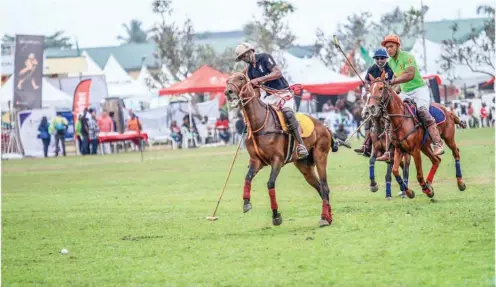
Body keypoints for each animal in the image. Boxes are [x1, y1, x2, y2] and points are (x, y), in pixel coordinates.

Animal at [226, 72, 338, 230]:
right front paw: (246, 203)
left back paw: (324, 218)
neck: (259, 123)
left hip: (320, 155)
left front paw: (276, 216)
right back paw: (327, 217)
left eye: (241, 78)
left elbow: (270, 184)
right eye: (227, 80)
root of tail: (325, 127)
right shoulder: (256, 161)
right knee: (320, 188)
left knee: (325, 186)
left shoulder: (277, 160)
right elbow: (247, 178)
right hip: (304, 166)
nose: (228, 92)